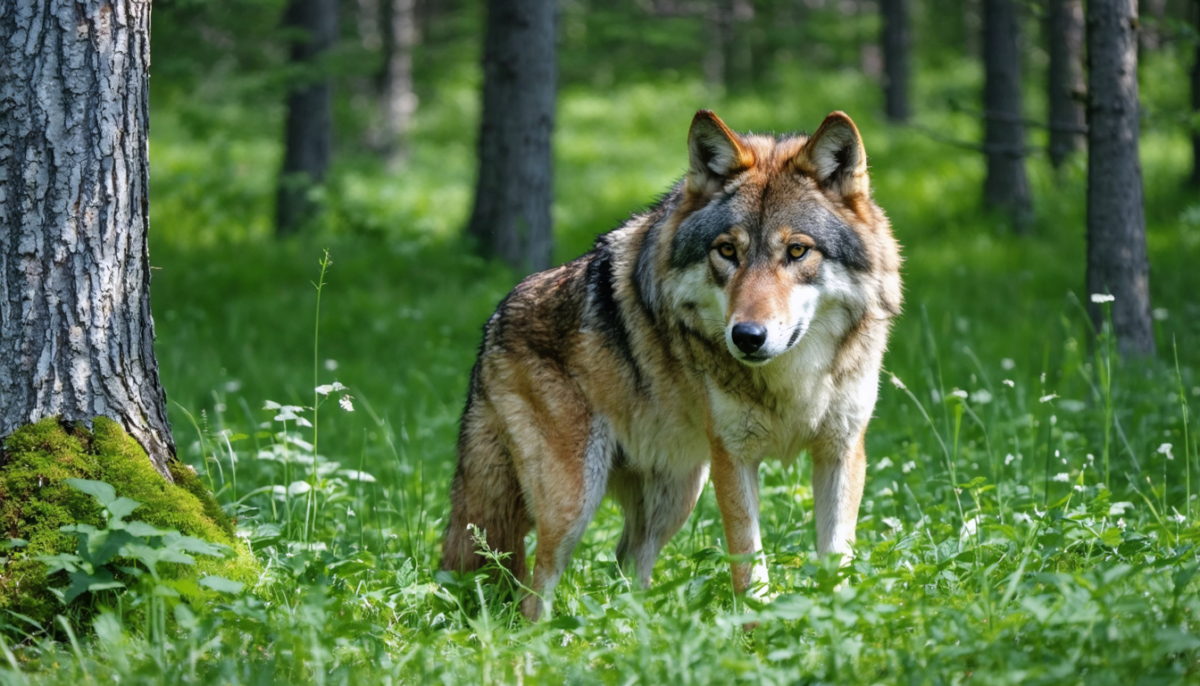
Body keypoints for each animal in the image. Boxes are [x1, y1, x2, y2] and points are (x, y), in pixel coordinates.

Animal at [441, 110, 902, 621]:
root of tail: (492, 324)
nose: (747, 336)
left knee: (626, 567)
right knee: (532, 592)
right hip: (574, 502)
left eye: (797, 251)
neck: (792, 380)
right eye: (727, 251)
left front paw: (837, 623)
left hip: (674, 497)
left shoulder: (841, 451)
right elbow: (750, 567)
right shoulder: (733, 458)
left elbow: (836, 562)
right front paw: (760, 627)